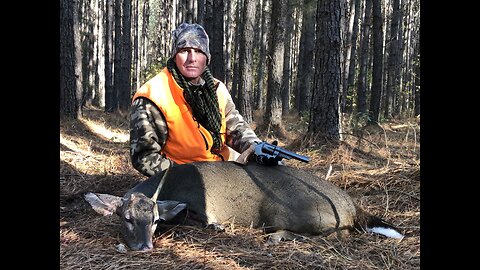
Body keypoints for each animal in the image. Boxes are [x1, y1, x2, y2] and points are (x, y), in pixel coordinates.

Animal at [84, 160, 404, 251]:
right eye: (126, 217)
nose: (144, 246)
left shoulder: (197, 206)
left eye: (153, 220)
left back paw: (277, 237)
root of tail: (352, 205)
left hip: (288, 211)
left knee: (339, 235)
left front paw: (218, 226)